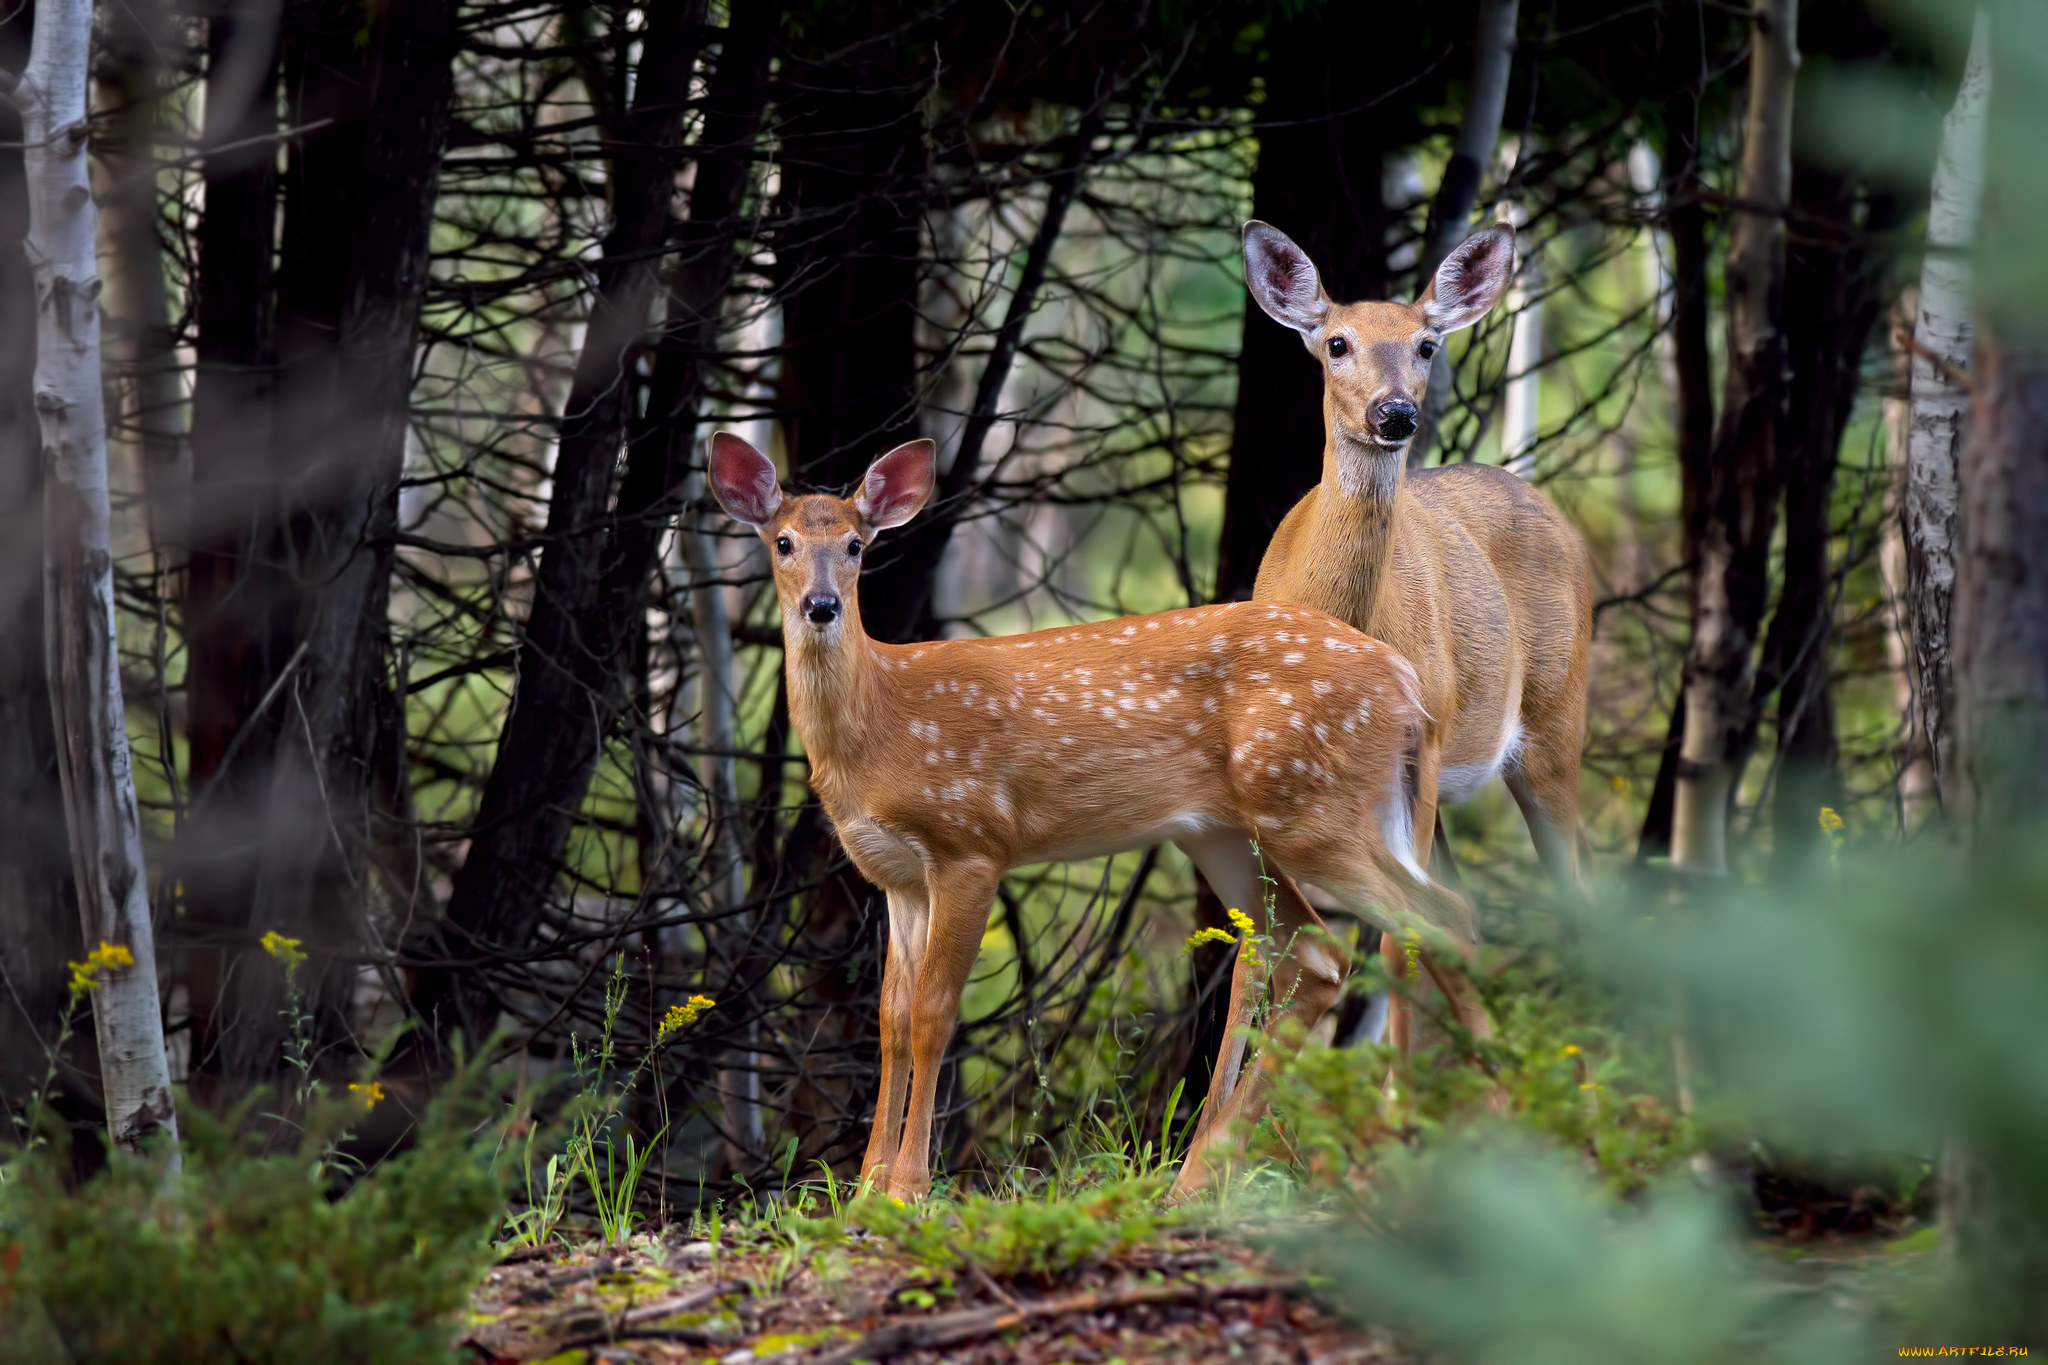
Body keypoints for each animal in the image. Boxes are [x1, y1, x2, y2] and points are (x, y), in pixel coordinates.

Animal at [712, 431, 1482, 1203]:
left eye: (854, 545)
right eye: (782, 541)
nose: (820, 606)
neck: (881, 725)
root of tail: (1410, 689)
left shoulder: (971, 842)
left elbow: (934, 1013)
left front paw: (907, 1188)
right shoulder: (896, 877)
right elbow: (891, 1018)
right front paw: (864, 1188)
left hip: (1316, 808)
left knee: (1441, 919)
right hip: (1233, 833)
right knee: (1322, 954)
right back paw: (1195, 1180)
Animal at [1236, 222, 1589, 1055]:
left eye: (1427, 344)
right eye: (1336, 343)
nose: (1393, 412)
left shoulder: (1422, 736)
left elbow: (1401, 938)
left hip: (1552, 724)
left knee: (1577, 905)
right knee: (1469, 924)